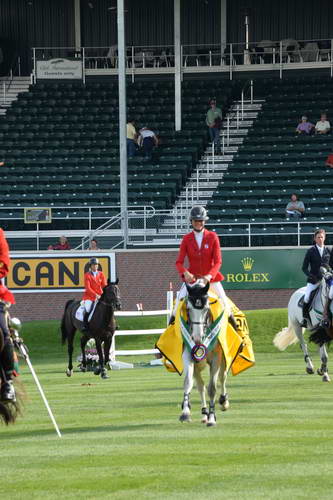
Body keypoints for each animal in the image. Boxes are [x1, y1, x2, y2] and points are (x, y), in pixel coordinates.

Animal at [178, 282, 230, 426]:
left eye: (206, 309)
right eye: (188, 309)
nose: (197, 337)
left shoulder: (216, 359)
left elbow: (212, 388)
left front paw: (212, 418)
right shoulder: (188, 356)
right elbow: (188, 382)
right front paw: (185, 413)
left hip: (223, 361)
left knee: (222, 377)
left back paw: (223, 402)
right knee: (201, 386)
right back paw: (204, 413)